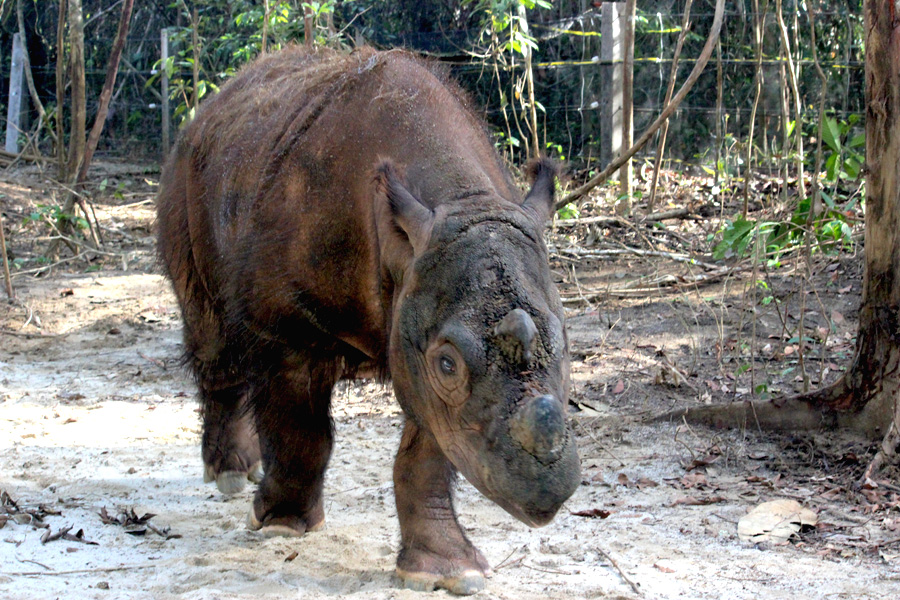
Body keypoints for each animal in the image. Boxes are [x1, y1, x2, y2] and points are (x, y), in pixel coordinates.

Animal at [156, 46, 580, 595]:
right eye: (448, 364)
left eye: (568, 347)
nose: (546, 493)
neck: (461, 199)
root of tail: (213, 105)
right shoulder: (290, 323)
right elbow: (301, 428)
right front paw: (281, 525)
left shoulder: (418, 329)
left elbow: (429, 451)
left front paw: (448, 572)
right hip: (184, 177)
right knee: (212, 337)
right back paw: (229, 476)